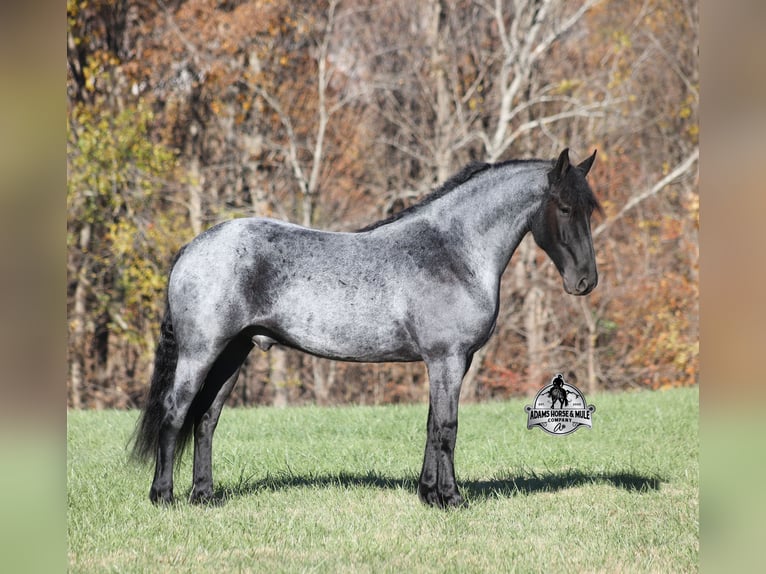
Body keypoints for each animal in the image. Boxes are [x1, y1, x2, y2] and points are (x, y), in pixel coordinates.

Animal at [131, 148, 601, 508]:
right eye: (564, 207)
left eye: (589, 211)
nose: (585, 282)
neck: (454, 251)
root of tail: (194, 246)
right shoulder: (446, 359)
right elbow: (447, 428)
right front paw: (451, 499)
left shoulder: (448, 362)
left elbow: (432, 425)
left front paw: (428, 494)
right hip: (201, 352)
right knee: (176, 412)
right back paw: (163, 497)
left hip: (234, 352)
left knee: (206, 419)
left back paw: (204, 496)